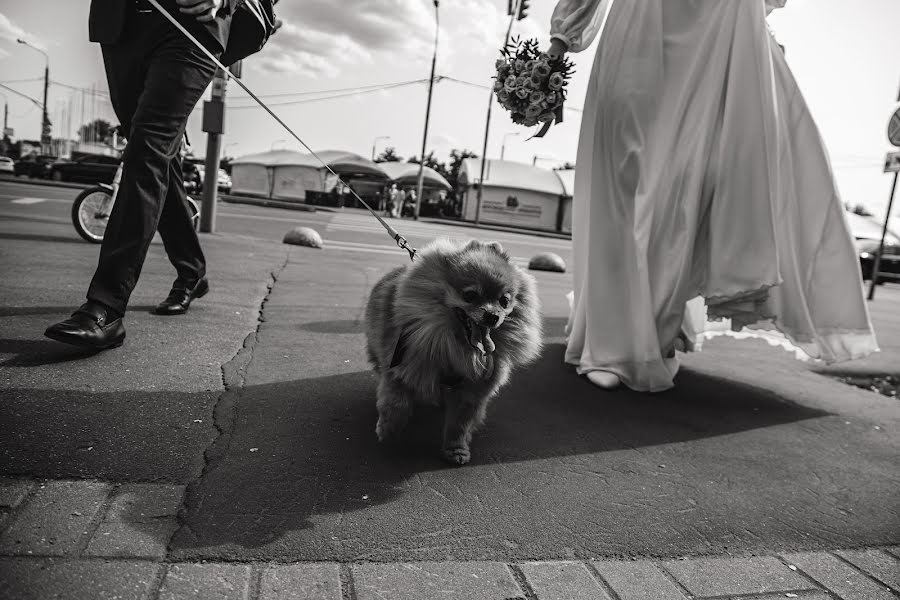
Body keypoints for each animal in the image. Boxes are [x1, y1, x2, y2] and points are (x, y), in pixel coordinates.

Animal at [364, 238, 540, 464]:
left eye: (504, 301)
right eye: (470, 295)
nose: (493, 316)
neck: (454, 346)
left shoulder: (472, 390)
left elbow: (460, 424)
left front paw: (456, 449)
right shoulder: (401, 366)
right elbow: (396, 403)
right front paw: (389, 430)